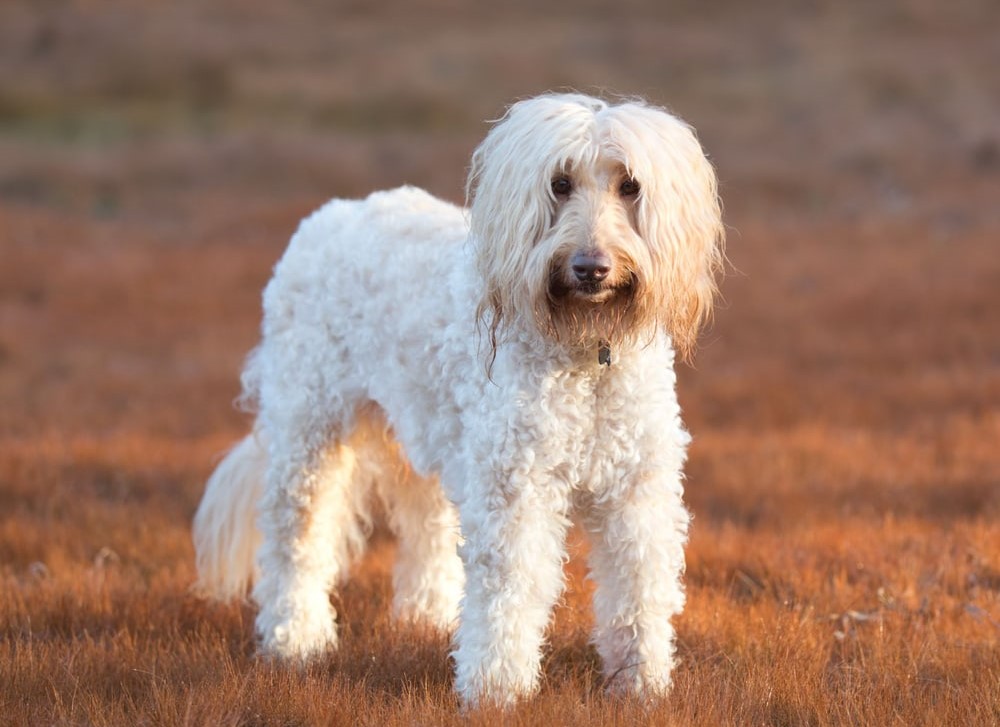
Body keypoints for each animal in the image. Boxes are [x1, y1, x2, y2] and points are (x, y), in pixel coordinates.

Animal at [191, 94, 724, 708]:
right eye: (559, 184)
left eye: (630, 186)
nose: (590, 268)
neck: (588, 353)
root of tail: (325, 216)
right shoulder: (516, 487)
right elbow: (511, 587)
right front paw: (496, 691)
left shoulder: (638, 488)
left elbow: (639, 586)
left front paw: (641, 684)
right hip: (309, 427)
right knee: (295, 535)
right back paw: (295, 639)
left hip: (427, 432)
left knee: (424, 522)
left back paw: (425, 619)